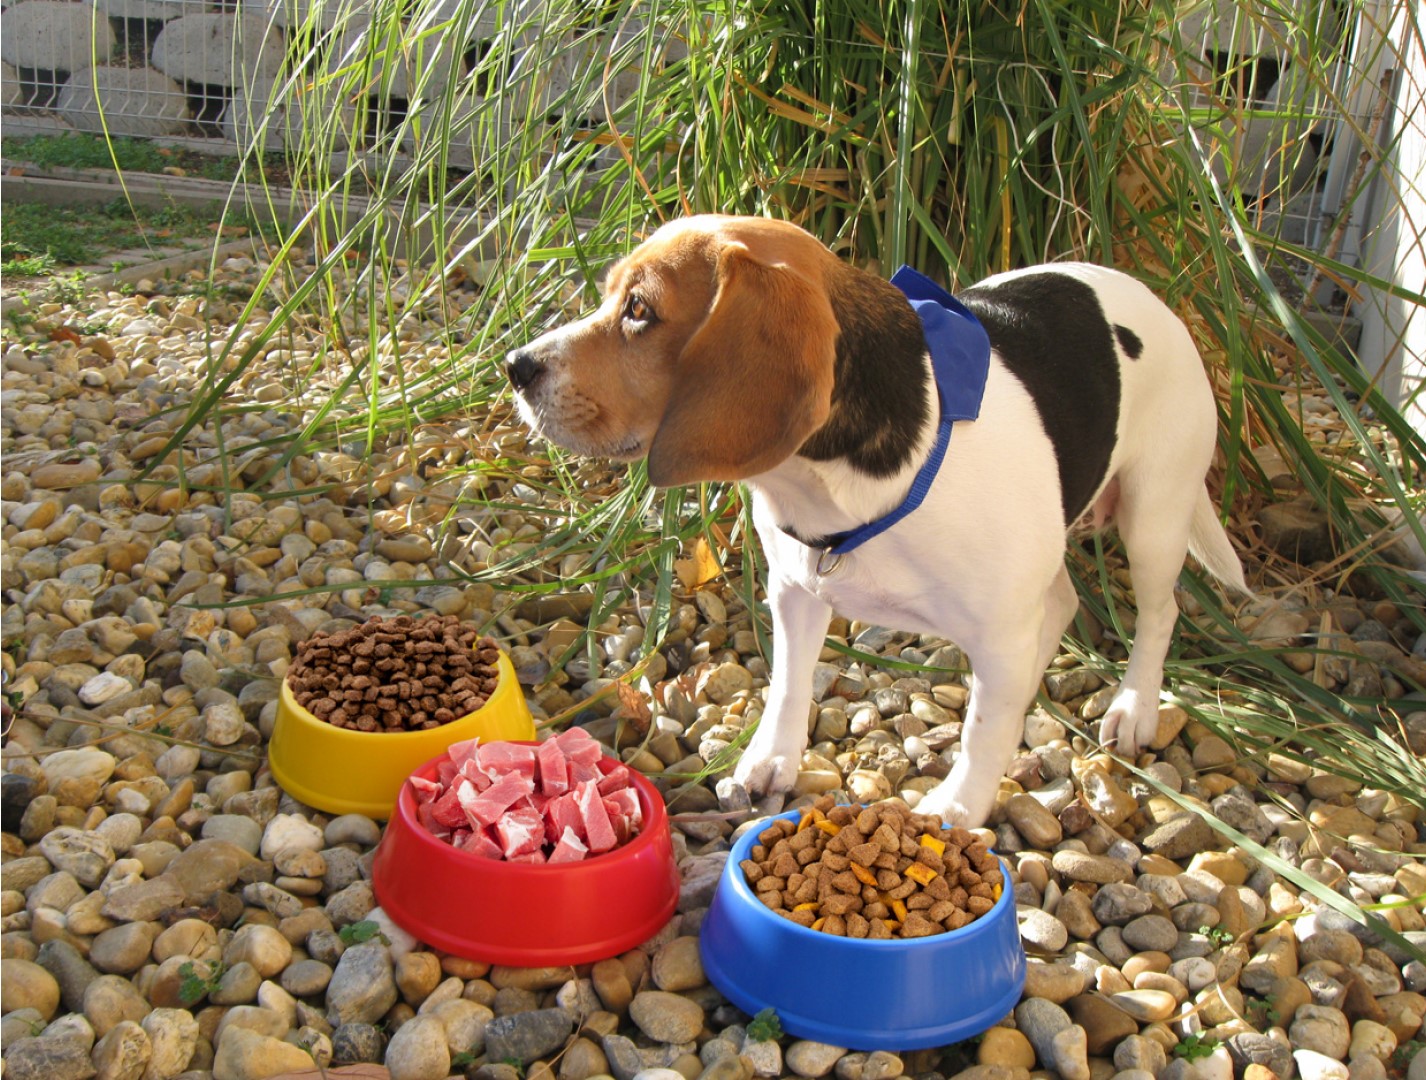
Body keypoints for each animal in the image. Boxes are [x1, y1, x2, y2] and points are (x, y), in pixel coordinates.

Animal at [504, 216, 1249, 827]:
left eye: (639, 311)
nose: (515, 364)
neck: (832, 486)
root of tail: (1151, 295)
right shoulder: (795, 591)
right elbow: (788, 686)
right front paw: (770, 761)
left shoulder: (998, 627)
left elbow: (983, 730)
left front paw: (959, 805)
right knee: (1060, 605)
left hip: (1155, 516)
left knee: (1158, 615)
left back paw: (1134, 708)